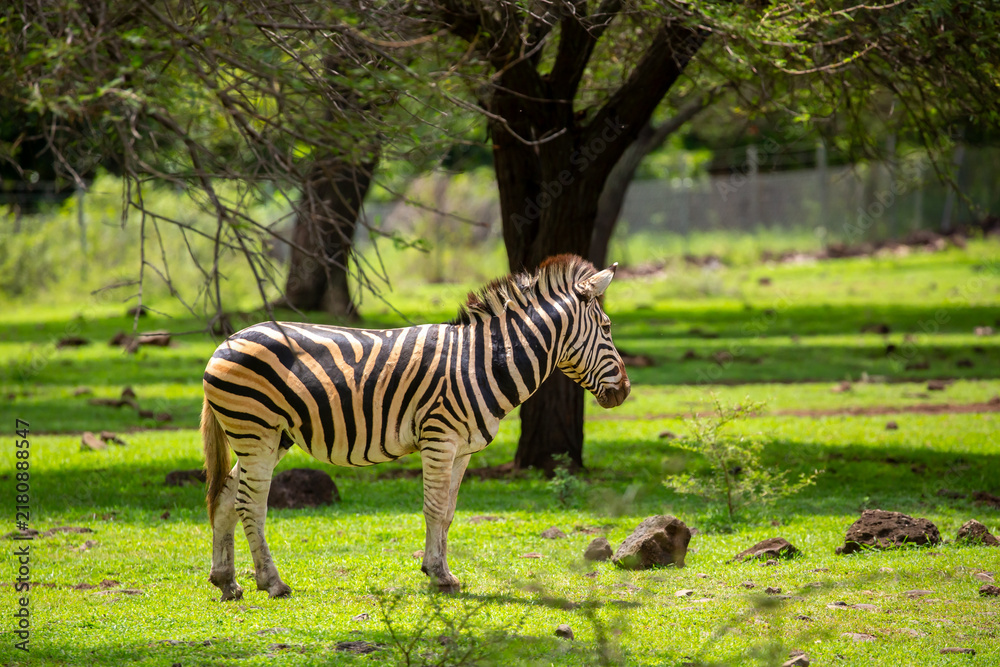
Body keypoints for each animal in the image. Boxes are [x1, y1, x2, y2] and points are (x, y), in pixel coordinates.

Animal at [201, 253, 630, 600]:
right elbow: (434, 507)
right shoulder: (439, 438)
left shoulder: (462, 449)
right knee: (250, 503)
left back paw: (227, 582)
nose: (624, 391)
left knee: (225, 495)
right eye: (608, 329)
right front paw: (439, 575)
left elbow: (449, 511)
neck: (485, 360)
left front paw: (439, 570)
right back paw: (272, 582)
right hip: (256, 430)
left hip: (271, 436)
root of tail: (225, 342)